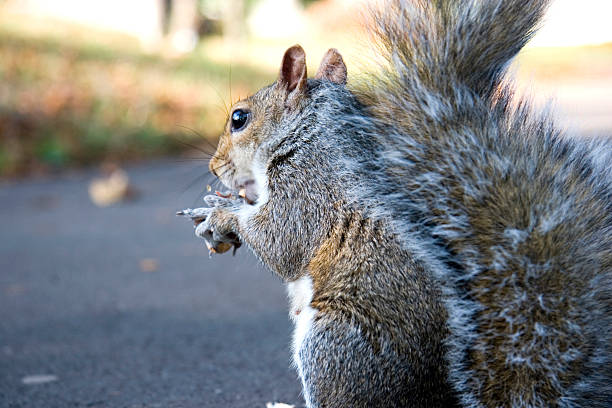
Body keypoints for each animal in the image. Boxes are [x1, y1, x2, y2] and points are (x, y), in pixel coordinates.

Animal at [178, 1, 612, 406]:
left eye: (239, 118)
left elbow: (280, 243)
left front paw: (222, 214)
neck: (313, 136)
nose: (214, 167)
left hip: (331, 347)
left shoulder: (308, 193)